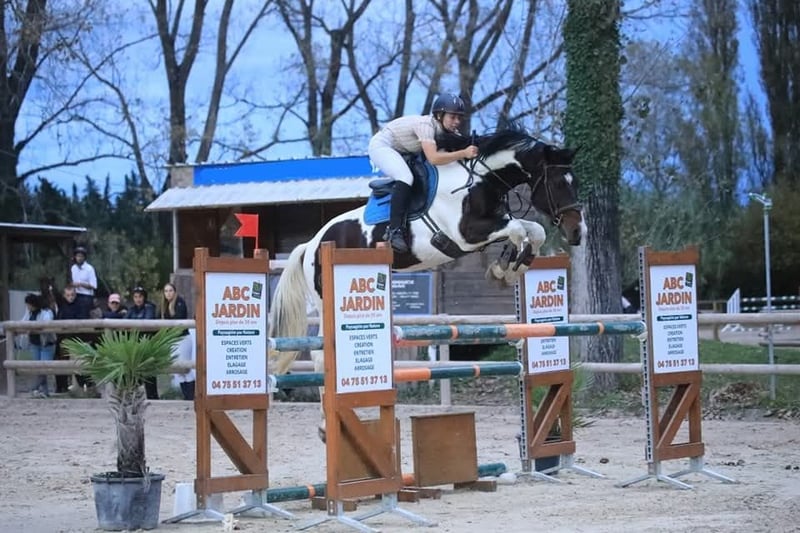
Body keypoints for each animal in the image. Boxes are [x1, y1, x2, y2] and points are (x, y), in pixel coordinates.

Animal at [268, 124, 585, 440]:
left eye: (575, 182)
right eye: (559, 184)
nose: (576, 233)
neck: (480, 182)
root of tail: (312, 243)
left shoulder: (492, 226)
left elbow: (533, 231)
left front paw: (509, 267)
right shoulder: (467, 234)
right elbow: (519, 228)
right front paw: (504, 269)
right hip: (325, 300)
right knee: (322, 357)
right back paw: (326, 426)